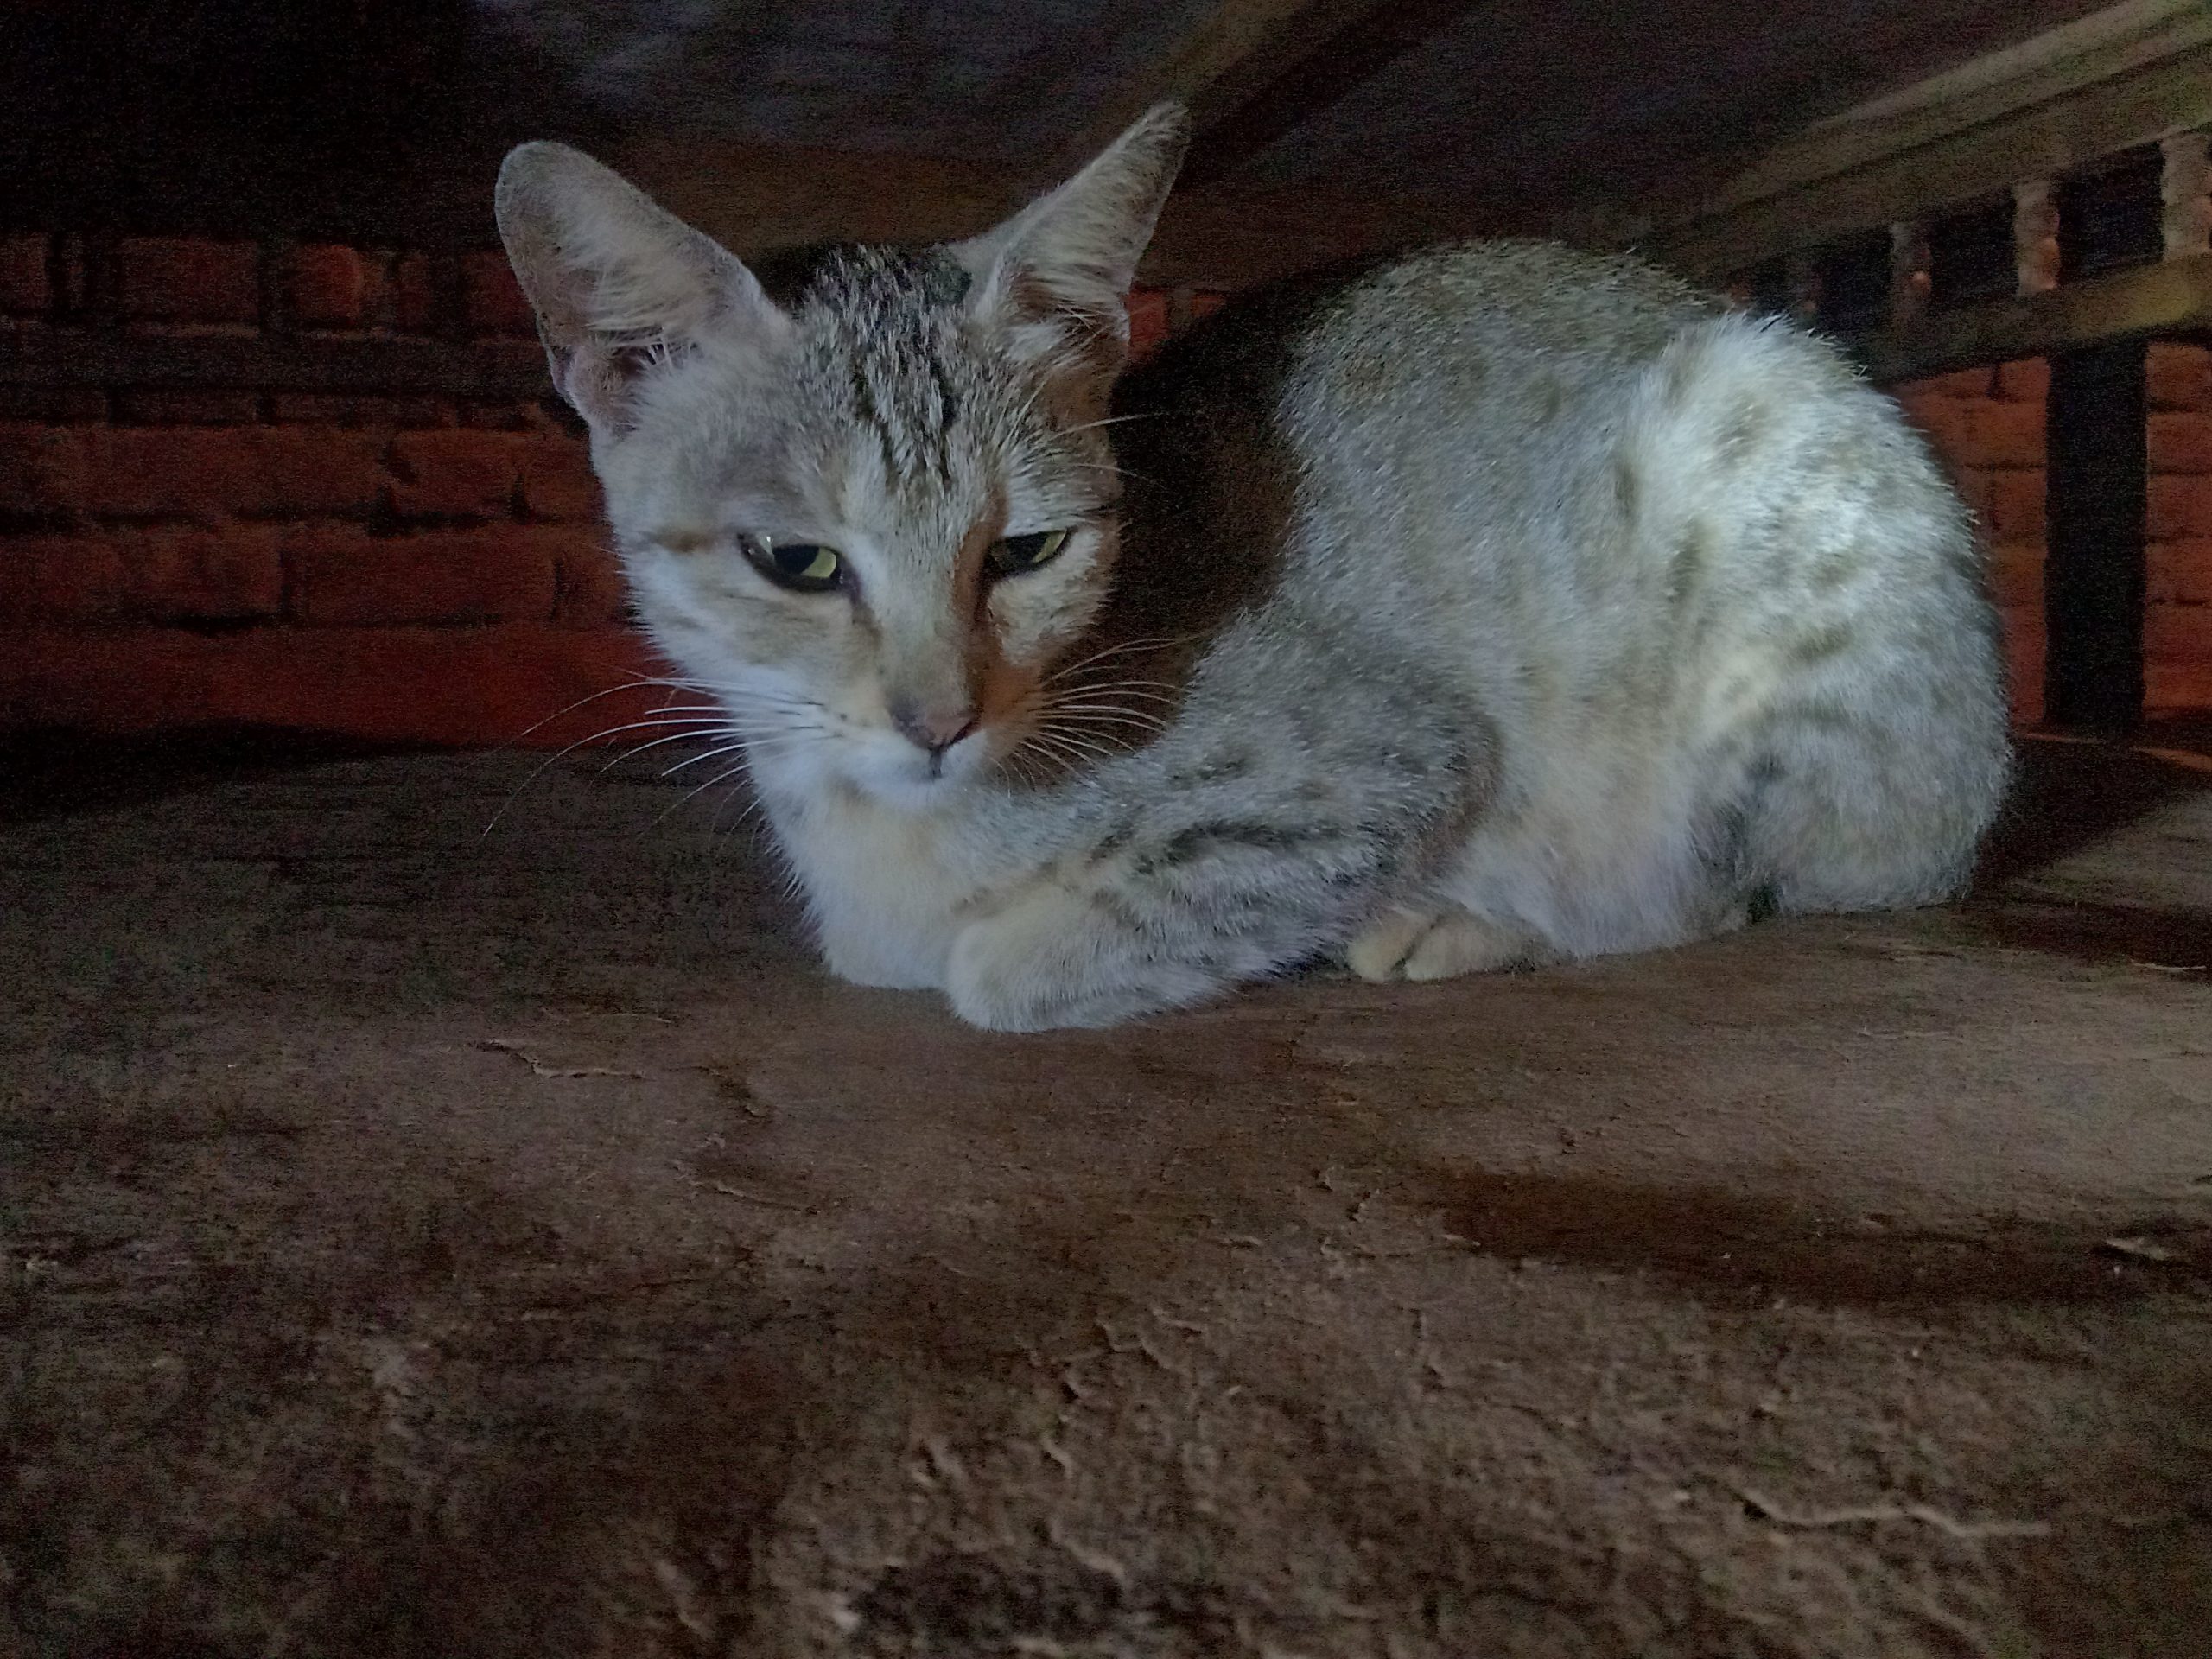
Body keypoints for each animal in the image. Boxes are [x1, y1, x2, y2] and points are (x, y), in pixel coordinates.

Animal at [493, 104, 2017, 1035]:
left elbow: (1002, 964)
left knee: (1737, 892)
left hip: (1753, 496)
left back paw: (1473, 923)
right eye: (797, 561)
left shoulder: (1384, 757)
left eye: (1027, 550)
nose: (940, 723)